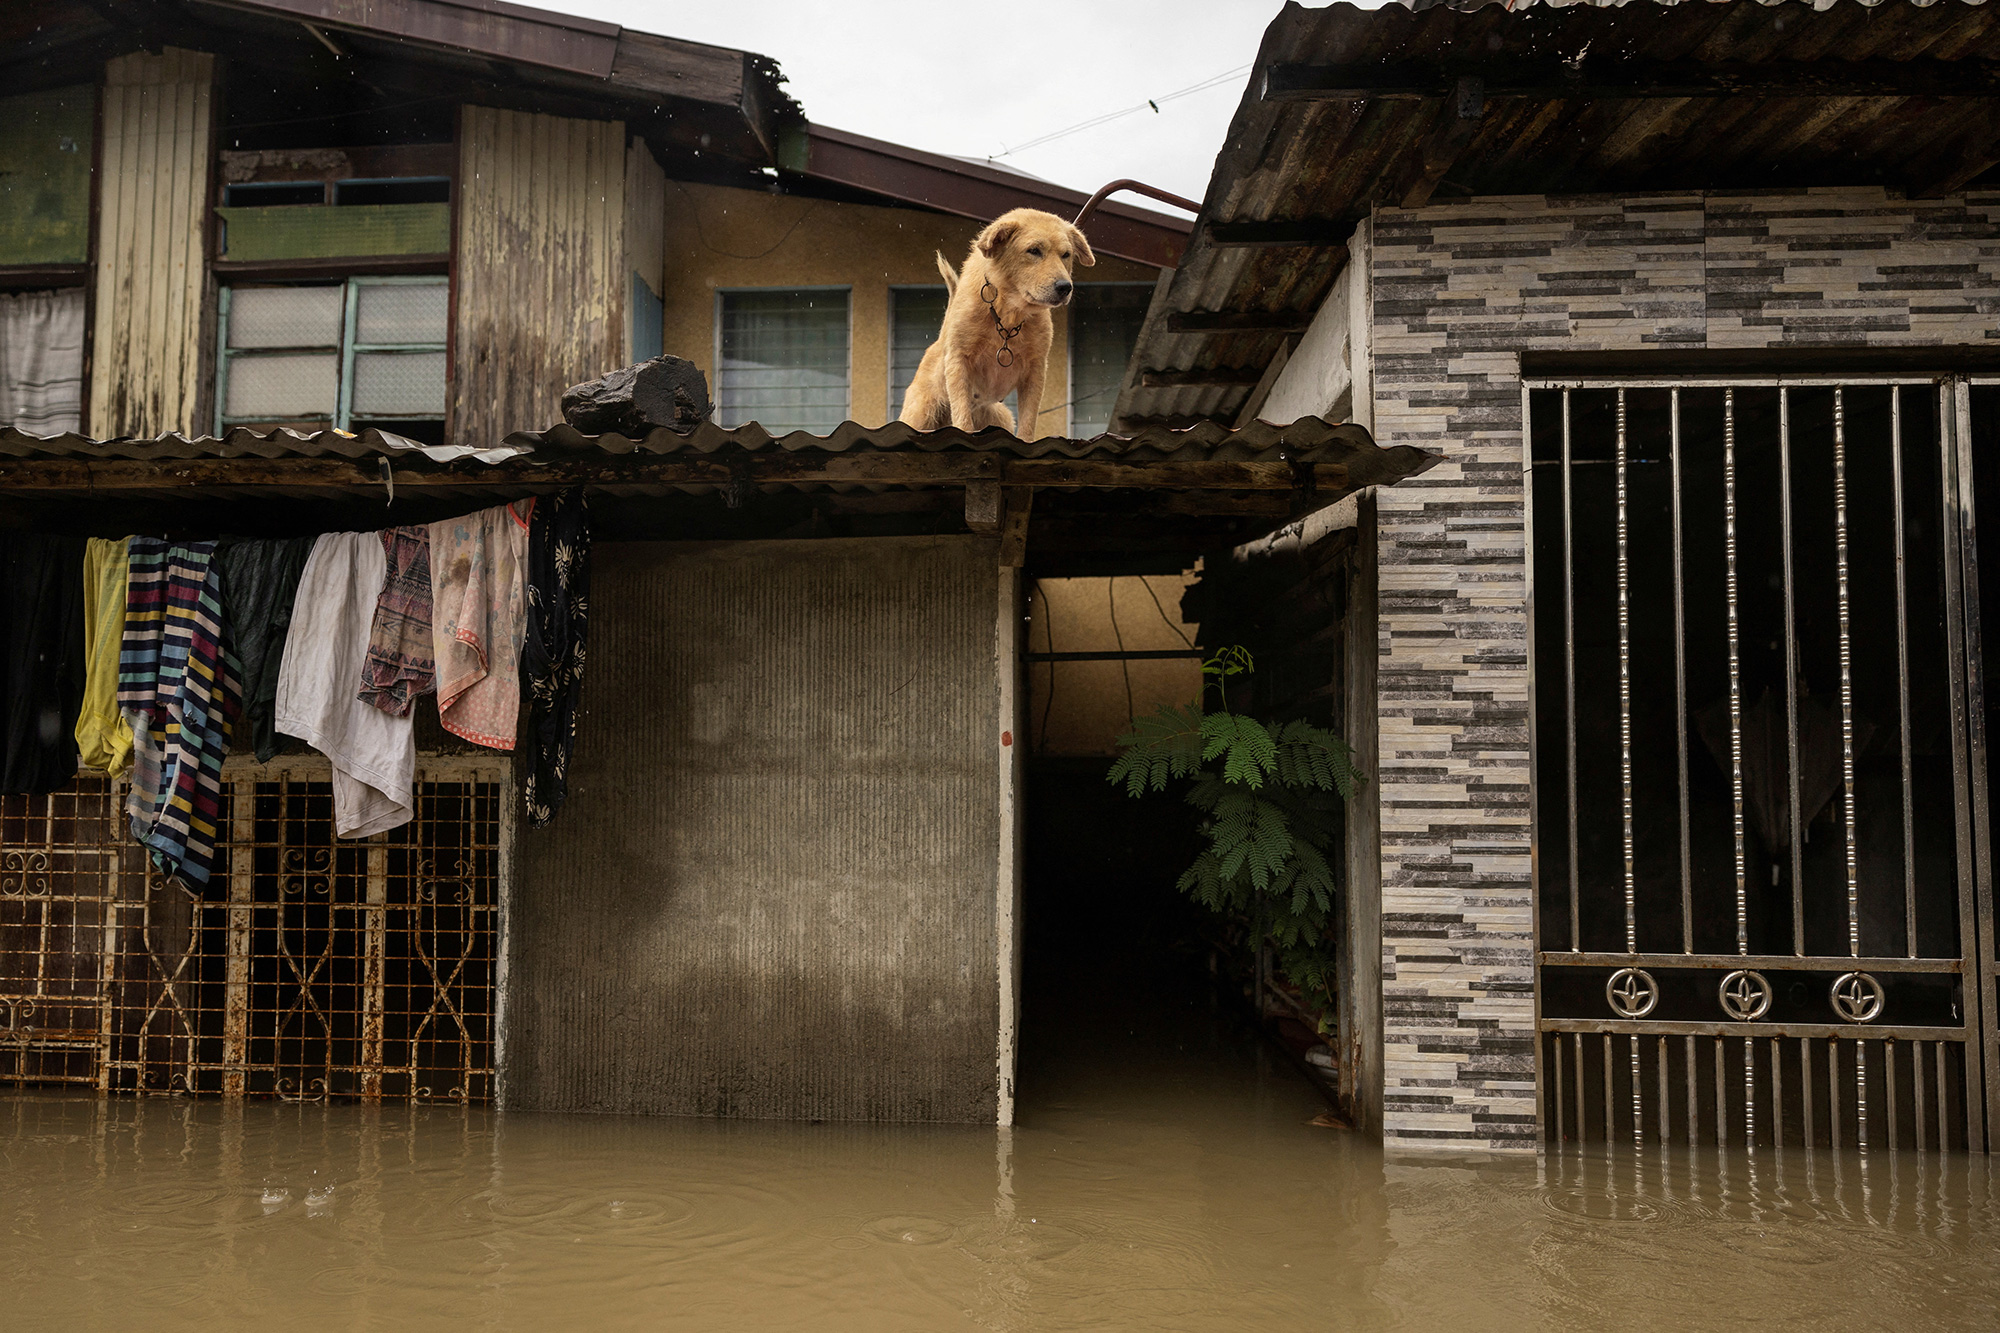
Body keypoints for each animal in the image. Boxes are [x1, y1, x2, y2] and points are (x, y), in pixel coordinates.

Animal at [904, 208, 1104, 436]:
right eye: (1034, 250)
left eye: (1066, 255)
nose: (1065, 287)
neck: (1008, 314)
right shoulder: (958, 361)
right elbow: (962, 416)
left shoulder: (1035, 370)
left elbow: (1028, 422)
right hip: (922, 412)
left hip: (1001, 418)